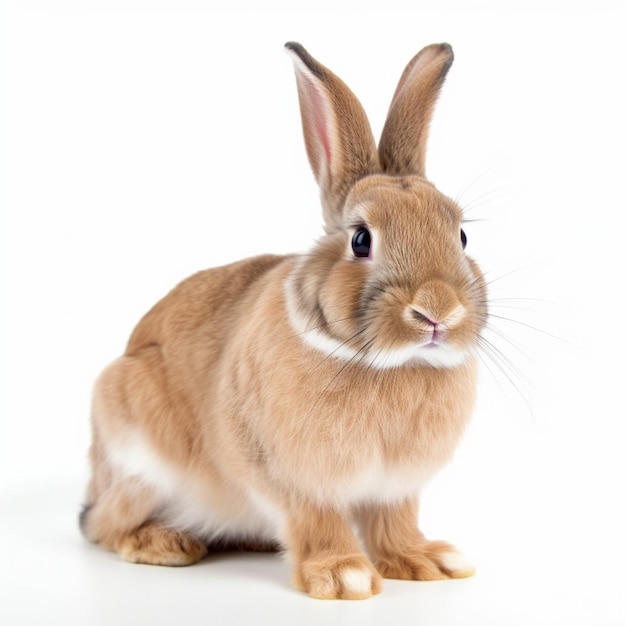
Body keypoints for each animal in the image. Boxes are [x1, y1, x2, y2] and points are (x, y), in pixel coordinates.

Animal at [79, 41, 488, 596]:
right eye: (361, 239)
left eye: (461, 236)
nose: (438, 311)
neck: (389, 363)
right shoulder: (293, 478)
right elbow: (318, 521)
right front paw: (344, 577)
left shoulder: (395, 488)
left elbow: (394, 523)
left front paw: (429, 562)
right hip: (138, 458)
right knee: (108, 526)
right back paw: (165, 544)